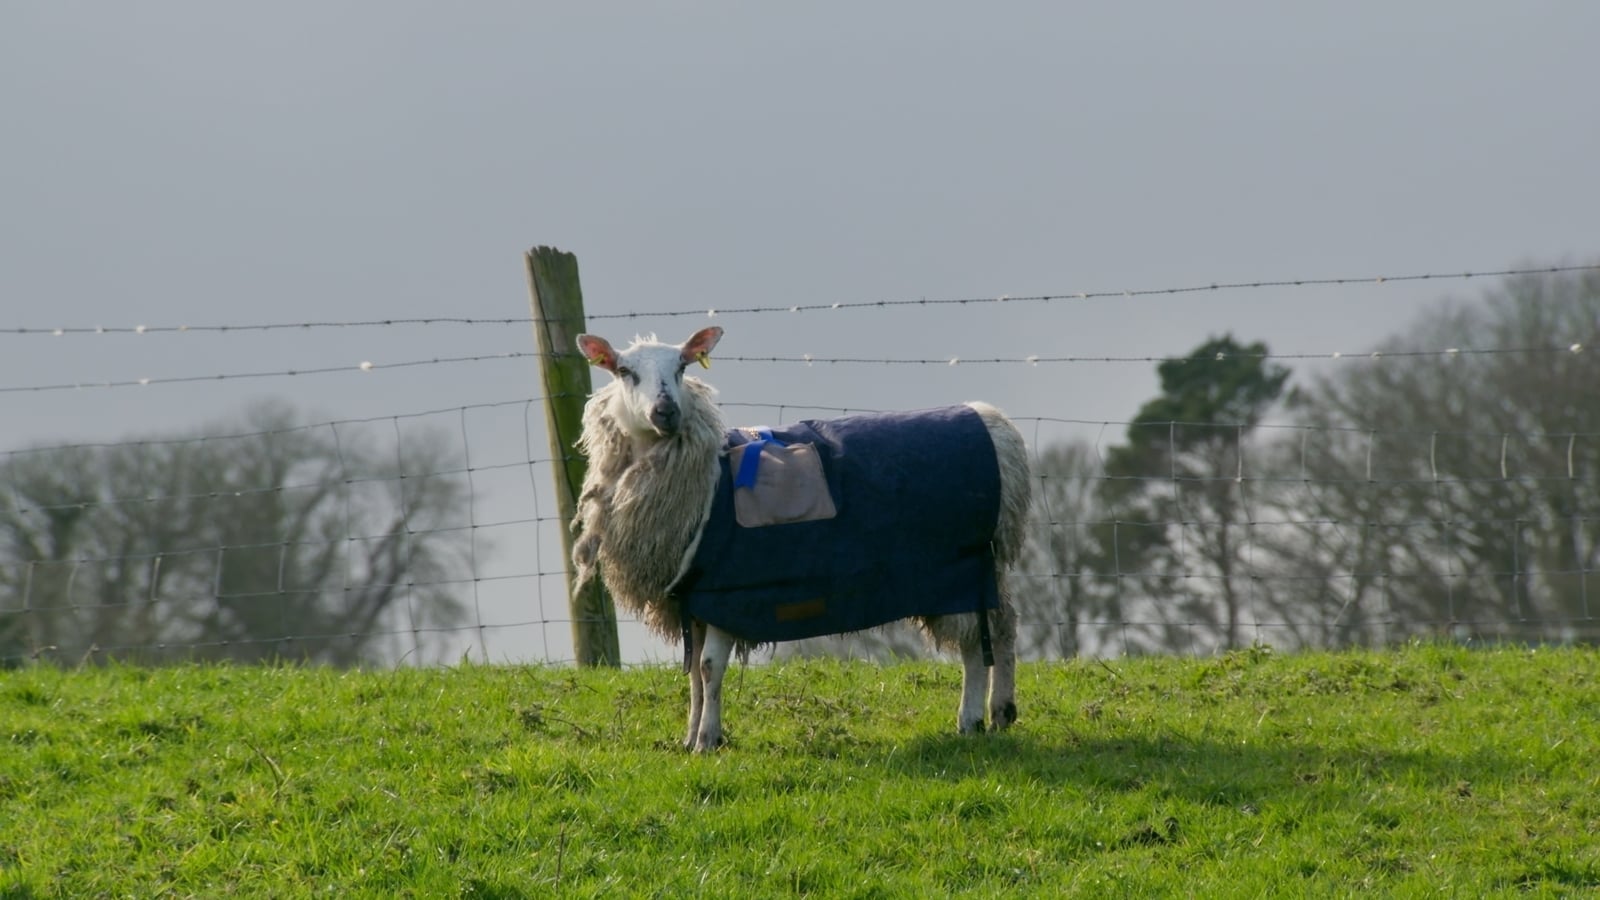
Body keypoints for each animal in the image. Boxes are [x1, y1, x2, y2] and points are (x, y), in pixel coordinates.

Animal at [571, 326, 1031, 752]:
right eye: (625, 371)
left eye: (682, 367)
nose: (665, 411)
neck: (707, 480)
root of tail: (993, 423)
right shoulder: (693, 599)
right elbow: (695, 680)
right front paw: (691, 737)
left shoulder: (726, 592)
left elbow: (708, 667)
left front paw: (707, 740)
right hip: (975, 566)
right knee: (1003, 625)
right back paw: (1000, 712)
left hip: (958, 569)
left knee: (976, 642)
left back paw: (972, 717)